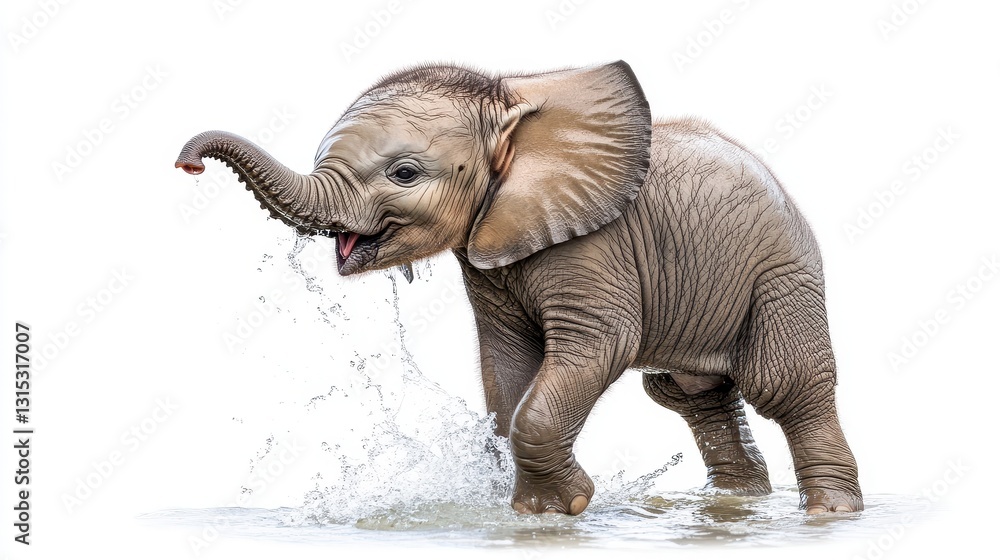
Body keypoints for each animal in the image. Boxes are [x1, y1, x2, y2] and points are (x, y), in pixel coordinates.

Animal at [175, 60, 862, 516]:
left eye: (405, 173)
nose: (188, 163)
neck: (512, 105)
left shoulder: (593, 243)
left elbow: (597, 347)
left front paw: (561, 509)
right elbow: (506, 367)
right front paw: (529, 509)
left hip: (782, 274)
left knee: (784, 385)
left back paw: (830, 512)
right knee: (691, 394)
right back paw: (738, 500)